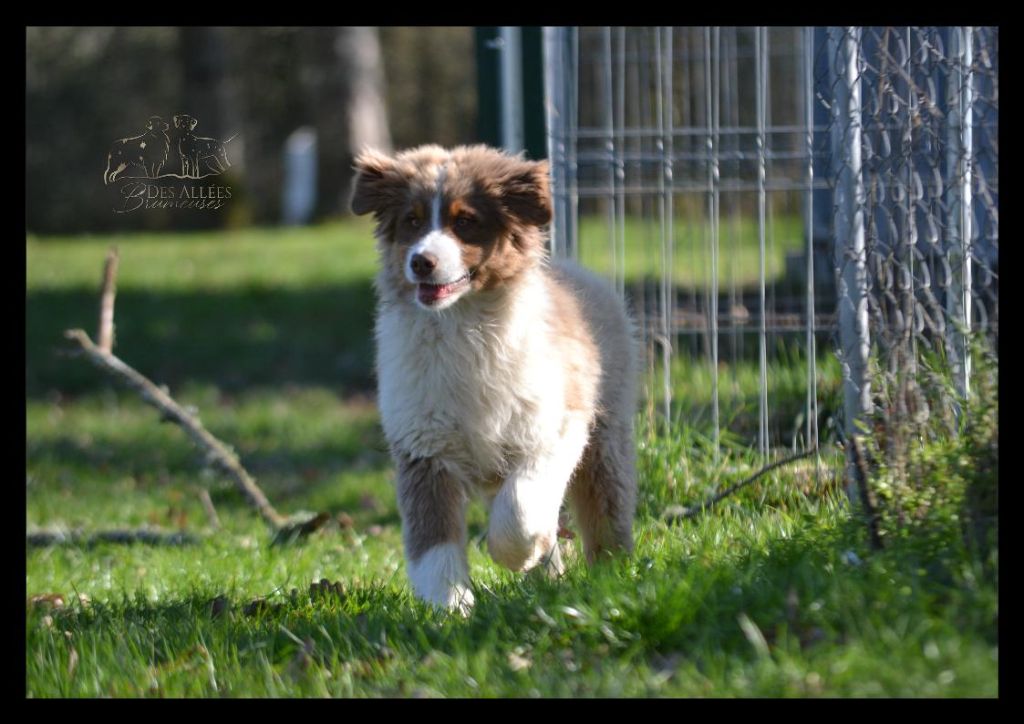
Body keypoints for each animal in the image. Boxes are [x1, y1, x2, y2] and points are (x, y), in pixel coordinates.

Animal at [350, 145, 638, 615]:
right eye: (411, 221)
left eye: (465, 221)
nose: (421, 262)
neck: (462, 326)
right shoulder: (422, 447)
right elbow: (433, 541)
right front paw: (448, 608)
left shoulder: (555, 429)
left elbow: (520, 507)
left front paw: (515, 554)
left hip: (605, 437)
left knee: (604, 508)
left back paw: (610, 572)